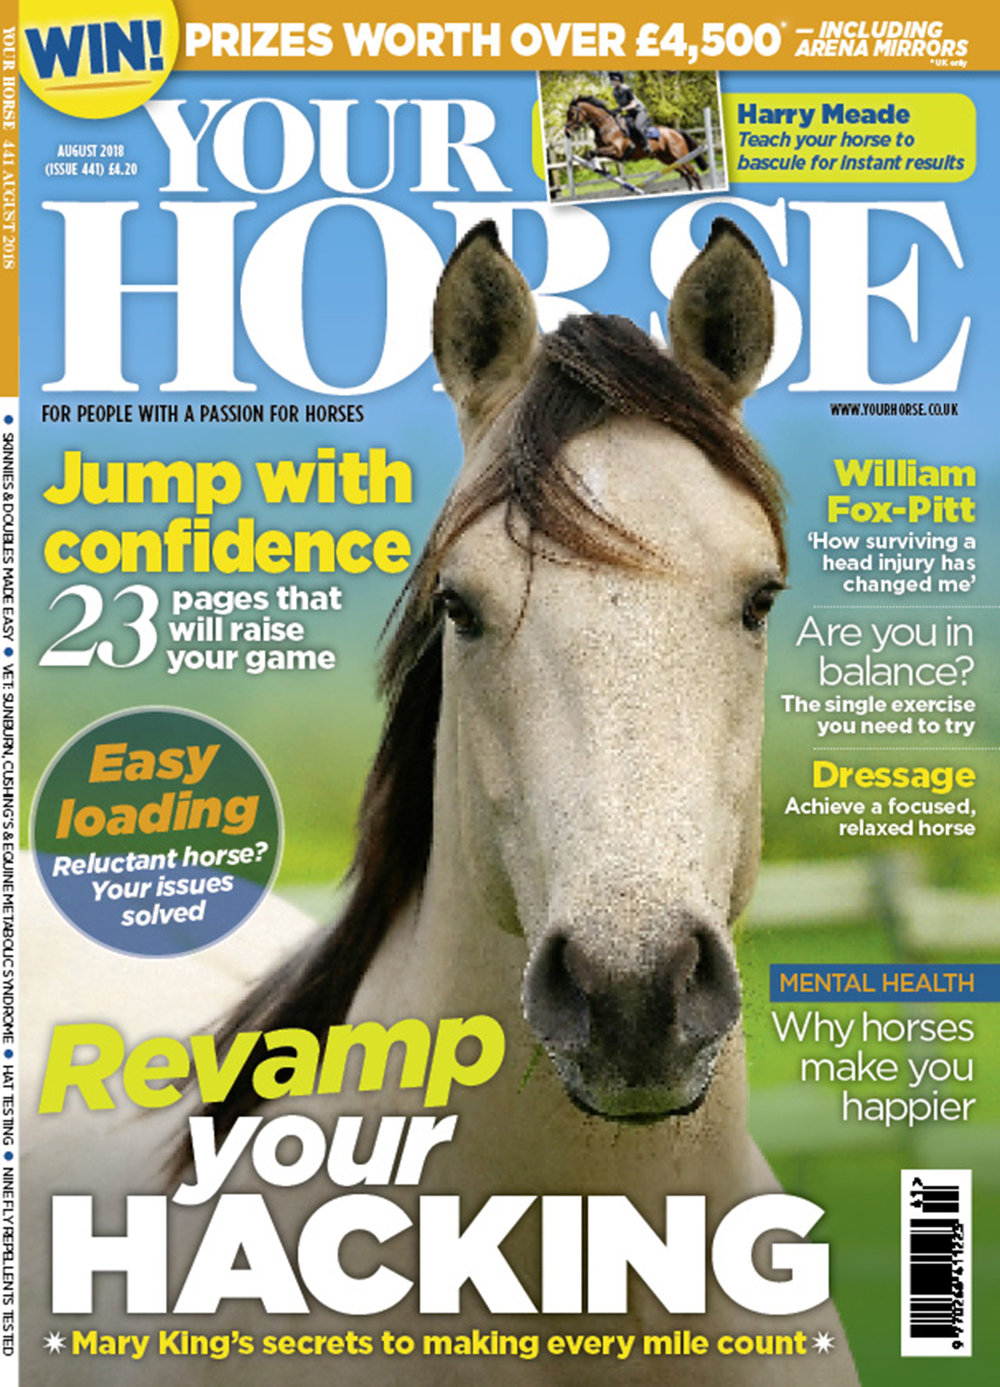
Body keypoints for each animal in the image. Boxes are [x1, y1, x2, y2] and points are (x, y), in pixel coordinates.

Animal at [565, 94, 708, 191]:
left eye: (572, 114)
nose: (567, 132)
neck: (606, 125)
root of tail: (675, 131)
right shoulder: (608, 151)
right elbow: (591, 154)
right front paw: (599, 168)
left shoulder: (616, 151)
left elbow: (592, 152)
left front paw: (598, 167)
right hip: (668, 159)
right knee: (685, 174)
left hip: (680, 155)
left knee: (693, 173)